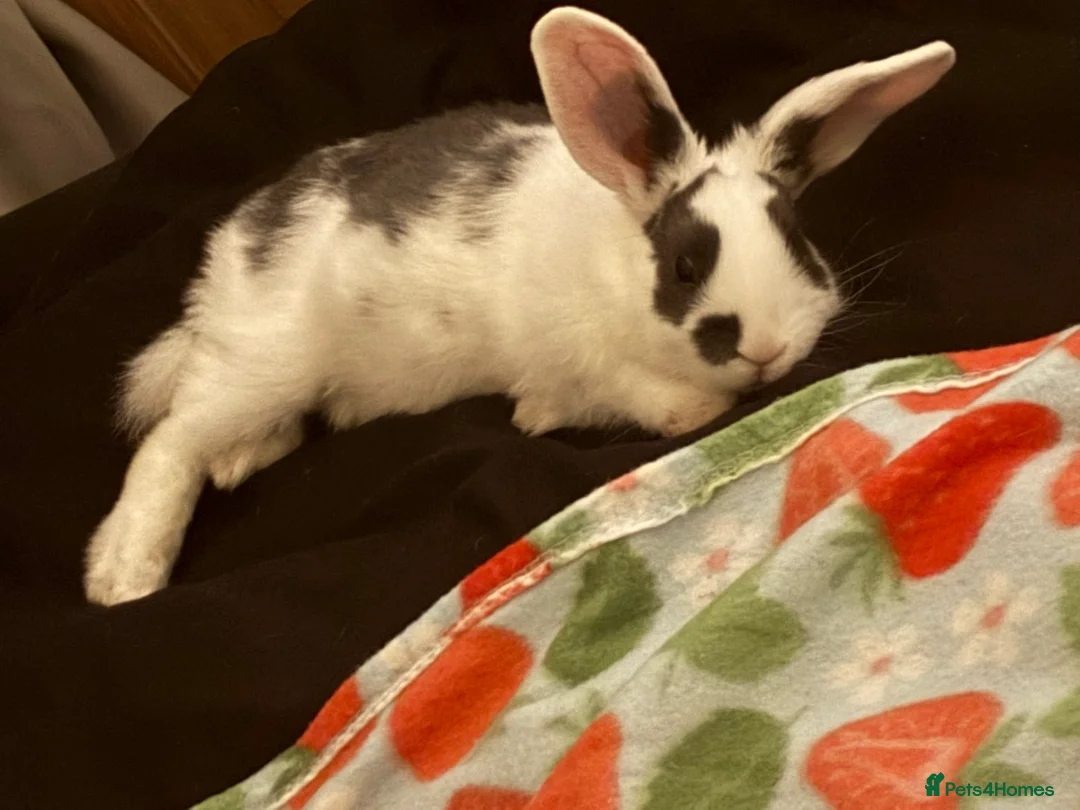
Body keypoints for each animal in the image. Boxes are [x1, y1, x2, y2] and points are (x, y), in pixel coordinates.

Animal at [83, 6, 955, 605]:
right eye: (684, 265)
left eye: (798, 240)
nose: (768, 348)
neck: (615, 260)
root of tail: (227, 258)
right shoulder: (593, 363)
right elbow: (678, 409)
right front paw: (545, 416)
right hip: (266, 360)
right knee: (169, 442)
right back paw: (124, 575)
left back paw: (242, 460)